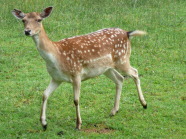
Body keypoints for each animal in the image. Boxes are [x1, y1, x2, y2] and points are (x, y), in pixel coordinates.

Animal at [12, 6, 147, 130]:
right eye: (23, 20)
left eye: (39, 19)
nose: (27, 31)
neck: (56, 56)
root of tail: (127, 33)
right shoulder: (56, 78)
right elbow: (44, 95)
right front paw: (44, 123)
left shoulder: (76, 74)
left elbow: (76, 100)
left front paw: (78, 124)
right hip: (106, 68)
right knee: (120, 79)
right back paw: (114, 111)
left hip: (122, 59)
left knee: (135, 72)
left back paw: (144, 104)